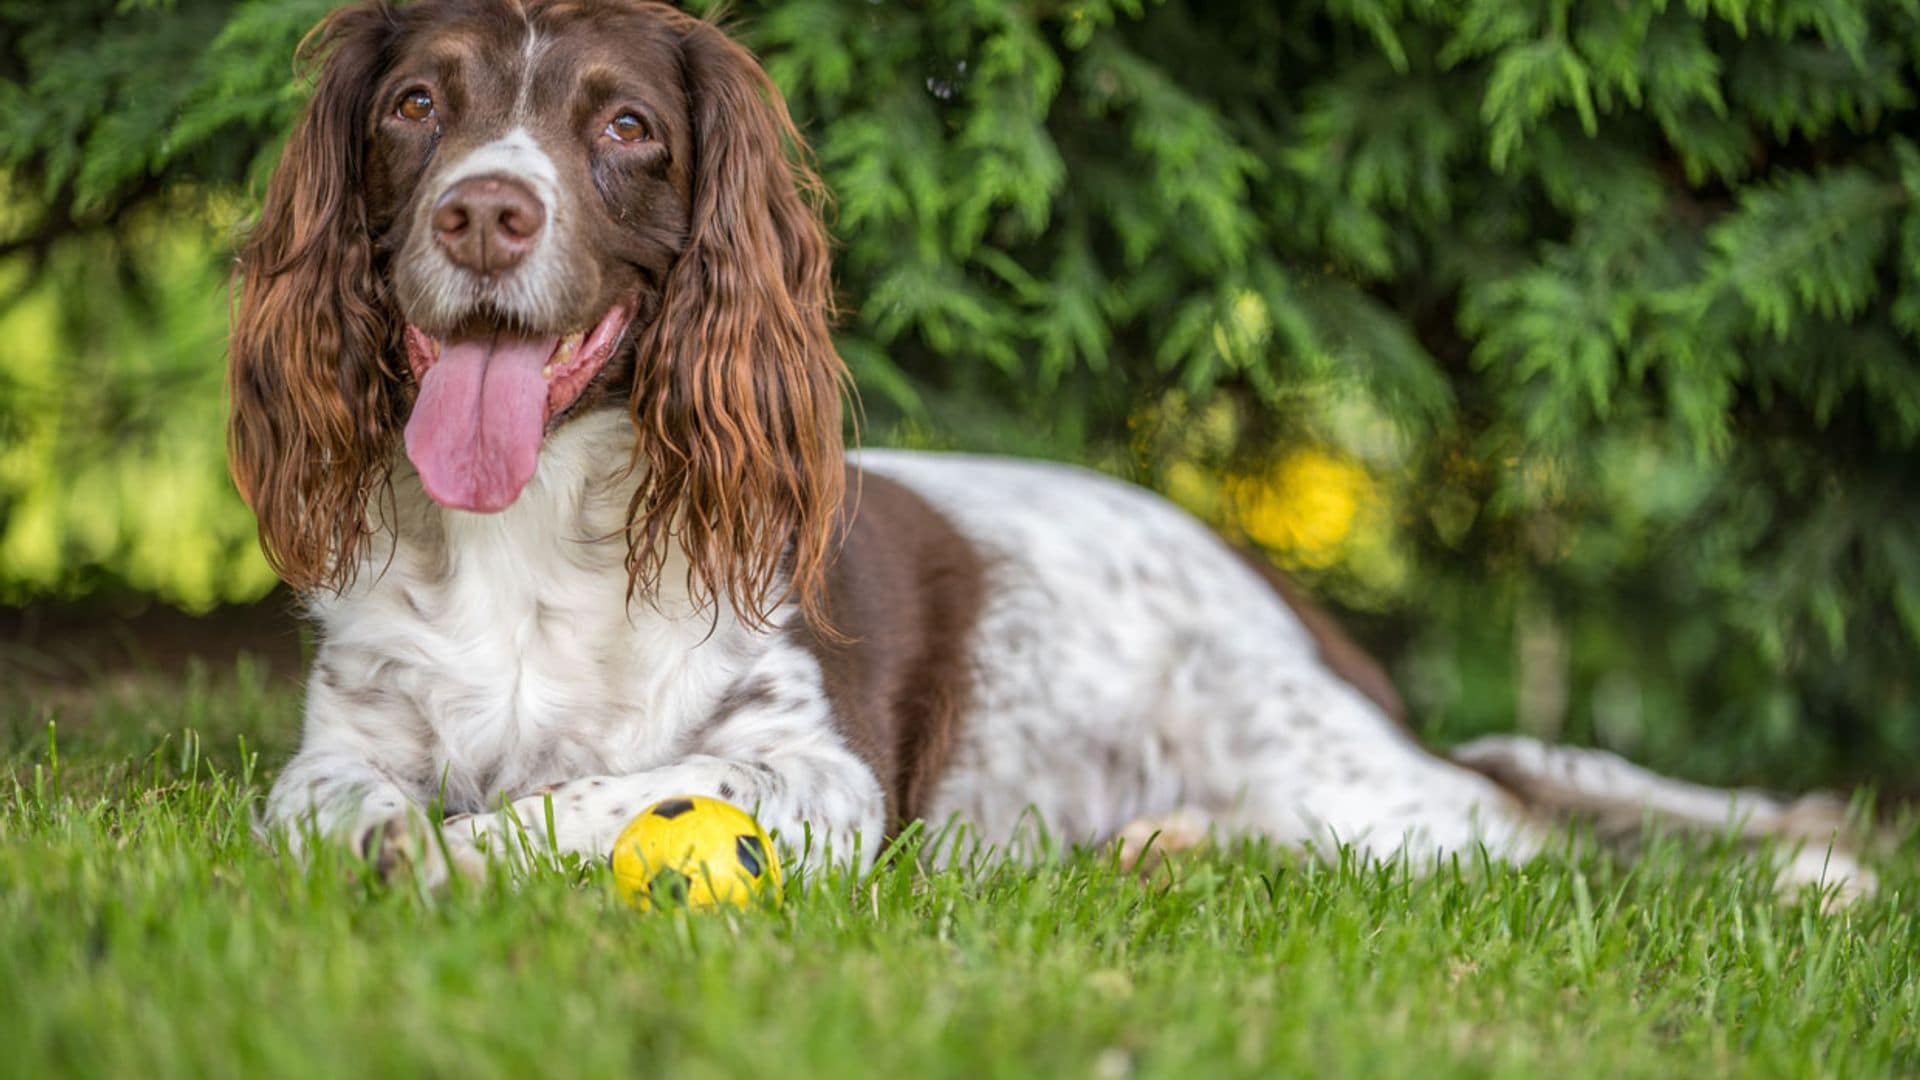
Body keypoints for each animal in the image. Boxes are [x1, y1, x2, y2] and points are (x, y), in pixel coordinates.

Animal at [236, 0, 1873, 895]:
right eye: (415, 103)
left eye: (627, 125)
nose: (484, 211)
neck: (533, 532)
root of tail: (1291, 598)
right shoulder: (340, 743)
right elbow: (329, 806)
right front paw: (401, 843)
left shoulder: (819, 772)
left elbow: (605, 795)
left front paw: (464, 852)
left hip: (1347, 783)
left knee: (1530, 829)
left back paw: (1810, 872)